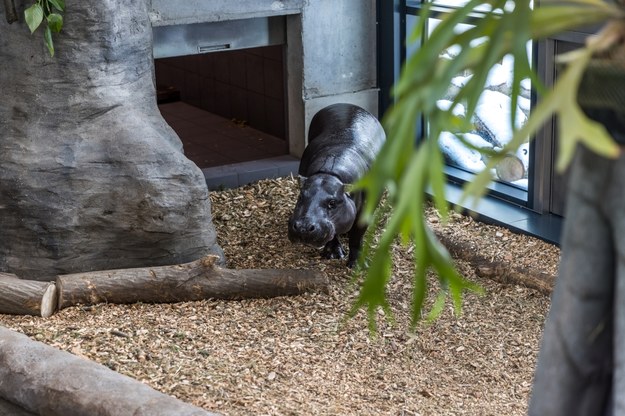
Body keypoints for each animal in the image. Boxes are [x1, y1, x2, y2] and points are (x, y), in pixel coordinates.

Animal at [288, 102, 386, 268]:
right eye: (301, 196)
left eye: (333, 202)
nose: (303, 228)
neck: (330, 173)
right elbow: (334, 231)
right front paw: (333, 254)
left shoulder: (365, 208)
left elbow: (357, 235)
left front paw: (358, 265)